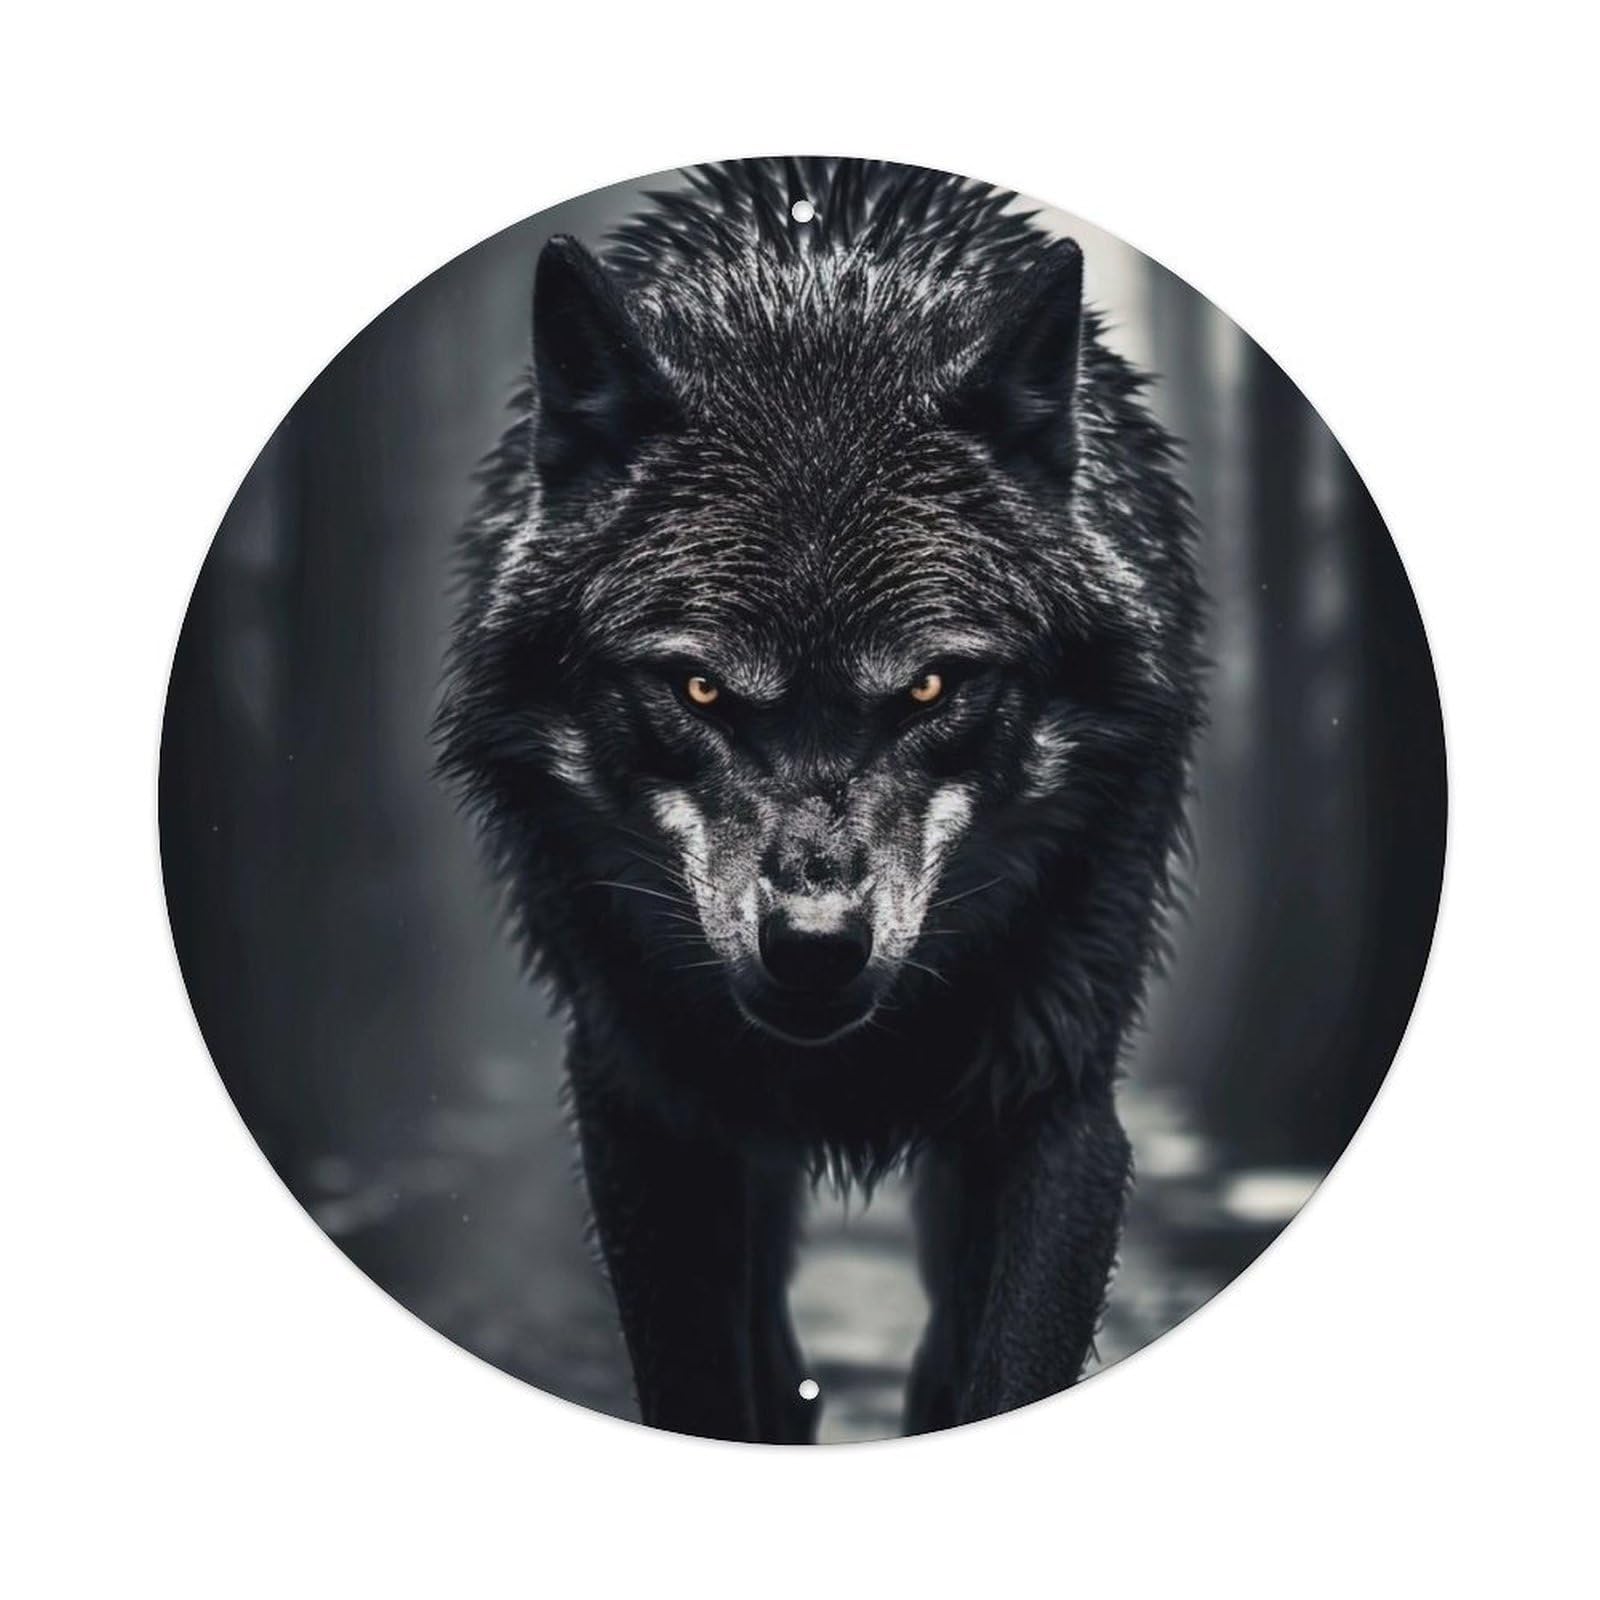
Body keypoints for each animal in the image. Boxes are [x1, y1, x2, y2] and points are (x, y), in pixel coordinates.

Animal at [435, 158, 1204, 1441]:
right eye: (696, 687)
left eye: (932, 685)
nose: (812, 945)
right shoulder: (646, 1105)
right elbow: (701, 1384)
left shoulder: (1053, 1105)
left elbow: (1005, 1367)